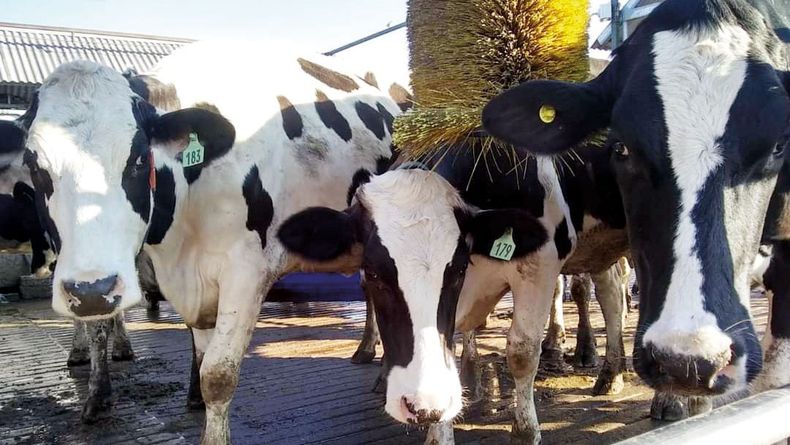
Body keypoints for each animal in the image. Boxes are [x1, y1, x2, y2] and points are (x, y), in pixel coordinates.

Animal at [0, 42, 412, 442]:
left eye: (138, 158)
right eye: (35, 166)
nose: (91, 291)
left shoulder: (246, 272)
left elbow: (217, 375)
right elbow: (195, 353)